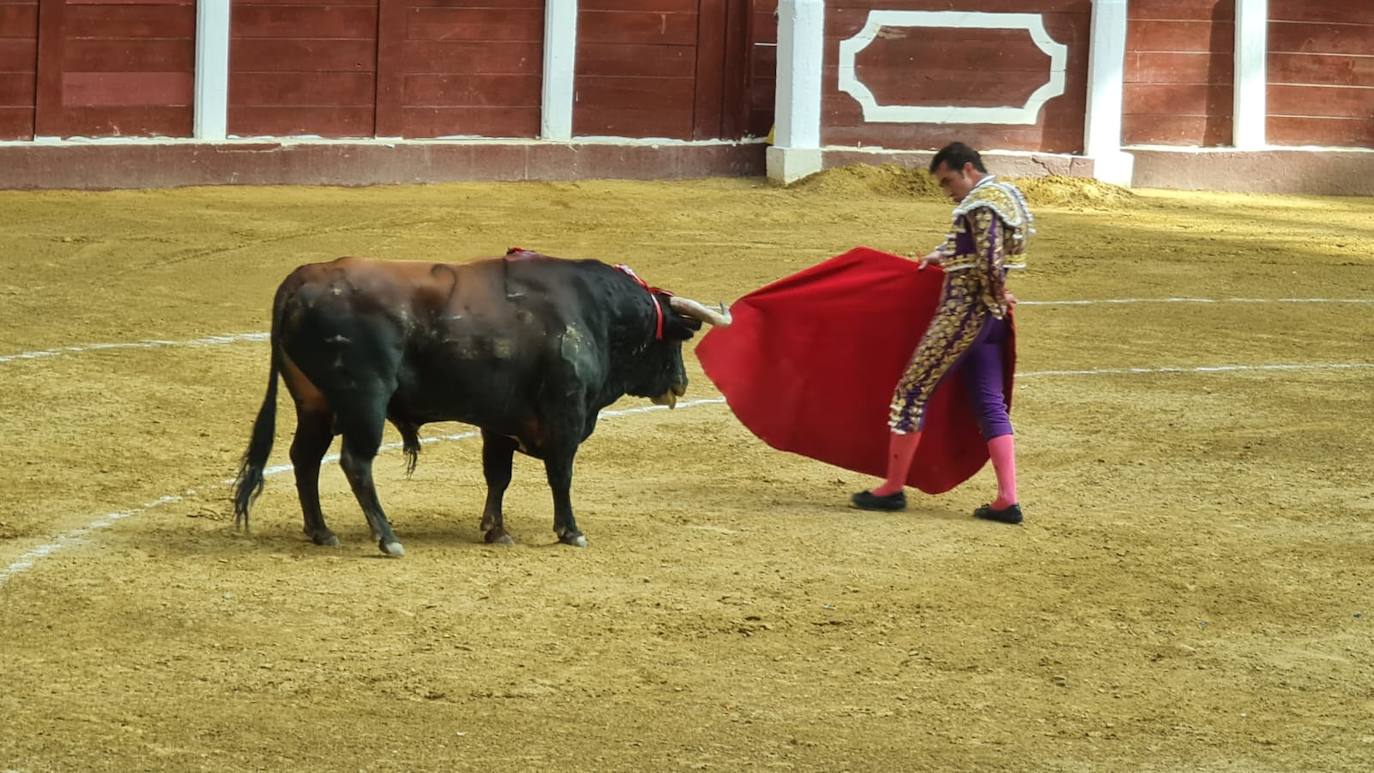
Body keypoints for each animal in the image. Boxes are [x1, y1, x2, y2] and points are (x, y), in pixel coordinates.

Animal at [233, 251, 730, 554]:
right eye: (677, 340)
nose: (682, 383)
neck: (598, 316)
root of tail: (303, 279)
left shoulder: (498, 422)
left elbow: (498, 475)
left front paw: (496, 529)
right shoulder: (566, 416)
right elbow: (561, 475)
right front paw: (570, 531)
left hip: (316, 404)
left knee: (305, 458)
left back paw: (322, 531)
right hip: (364, 401)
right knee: (355, 462)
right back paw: (387, 538)